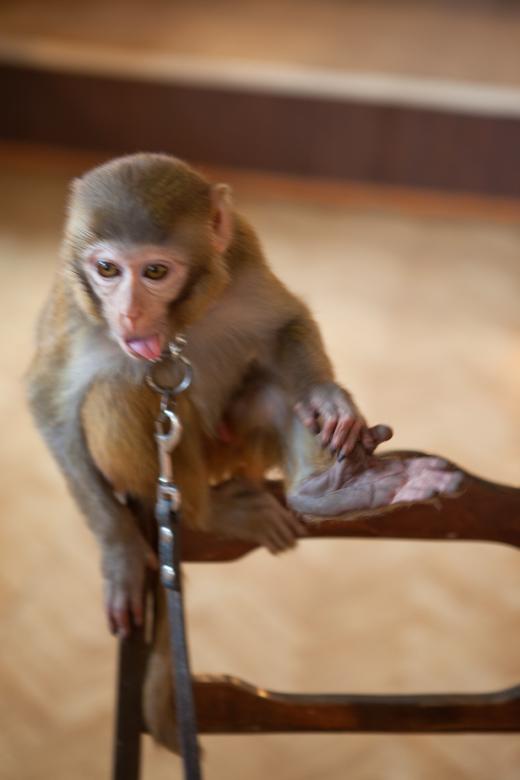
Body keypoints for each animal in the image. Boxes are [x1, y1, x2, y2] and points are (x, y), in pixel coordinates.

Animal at [26, 153, 461, 751]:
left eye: (155, 273)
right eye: (107, 270)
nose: (130, 315)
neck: (177, 327)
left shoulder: (243, 261)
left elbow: (286, 323)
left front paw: (329, 395)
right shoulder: (76, 311)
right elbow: (52, 404)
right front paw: (120, 552)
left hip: (236, 448)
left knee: (273, 390)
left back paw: (333, 491)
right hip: (189, 467)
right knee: (117, 389)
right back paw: (212, 514)